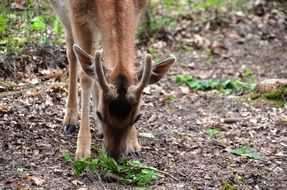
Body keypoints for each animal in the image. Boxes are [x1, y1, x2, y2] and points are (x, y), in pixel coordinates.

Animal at [48, 0, 177, 161]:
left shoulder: (137, 11)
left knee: (94, 56)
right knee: (71, 50)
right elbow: (85, 77)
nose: (114, 155)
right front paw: (83, 150)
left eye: (137, 117)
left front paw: (133, 144)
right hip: (60, 10)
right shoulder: (77, 15)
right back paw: (70, 120)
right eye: (100, 113)